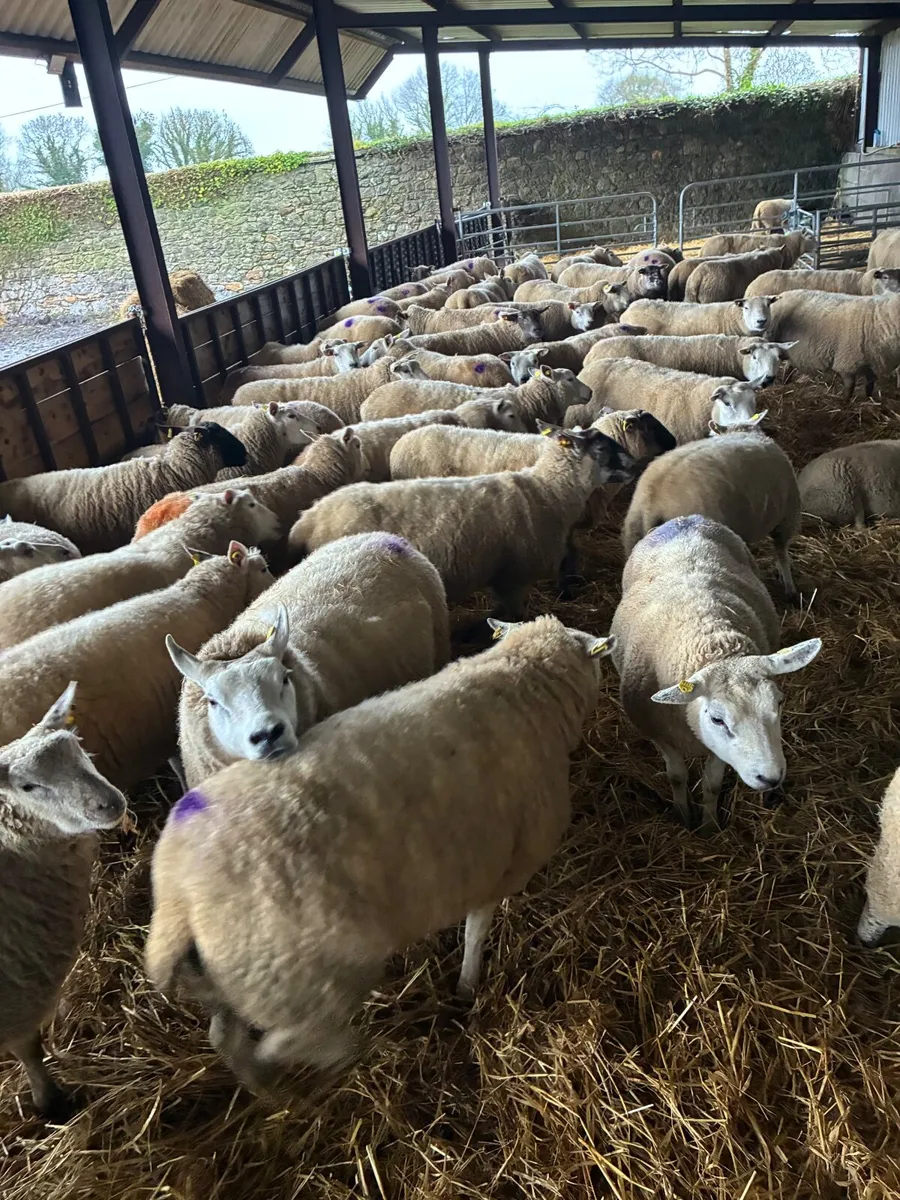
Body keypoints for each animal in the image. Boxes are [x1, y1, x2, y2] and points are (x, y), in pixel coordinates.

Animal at [0, 684, 127, 1118]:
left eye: (77, 745)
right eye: (27, 786)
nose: (110, 803)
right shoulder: (15, 1003)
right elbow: (28, 1048)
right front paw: (50, 1102)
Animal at [145, 614, 612, 1091]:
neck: (523, 683)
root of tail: (180, 899)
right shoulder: (497, 863)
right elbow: (475, 932)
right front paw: (467, 986)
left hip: (230, 987)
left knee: (226, 1038)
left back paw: (267, 1091)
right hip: (300, 984)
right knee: (283, 1042)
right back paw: (347, 1056)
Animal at [609, 514, 822, 832]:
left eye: (779, 703)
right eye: (717, 719)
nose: (770, 778)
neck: (713, 642)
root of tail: (685, 519)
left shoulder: (717, 751)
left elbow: (711, 784)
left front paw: (709, 826)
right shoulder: (659, 734)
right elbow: (677, 777)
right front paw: (684, 817)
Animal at [767, 290, 900, 399]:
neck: (878, 319)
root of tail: (780, 295)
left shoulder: (872, 365)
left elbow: (870, 385)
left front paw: (869, 398)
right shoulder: (847, 361)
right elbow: (850, 386)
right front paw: (846, 402)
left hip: (793, 350)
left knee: (788, 366)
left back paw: (785, 382)